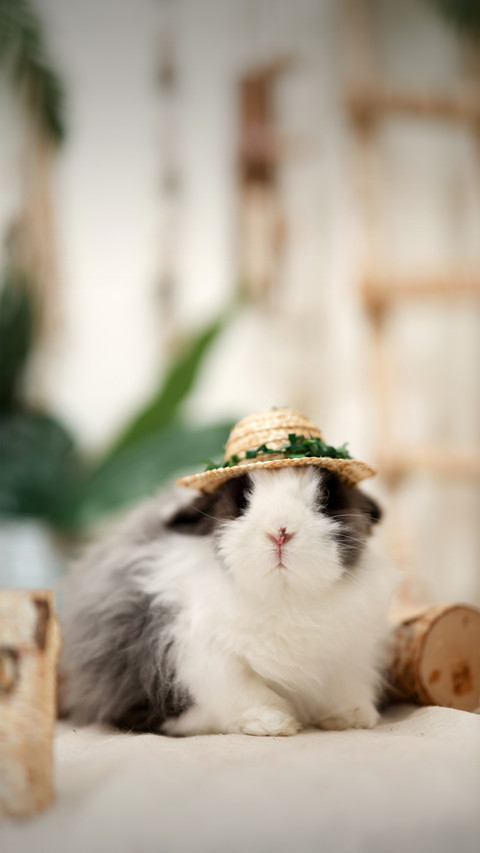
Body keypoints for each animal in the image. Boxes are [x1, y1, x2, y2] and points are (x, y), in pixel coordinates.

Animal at [60, 465, 396, 736]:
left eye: (326, 495)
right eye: (241, 500)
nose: (280, 532)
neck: (284, 594)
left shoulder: (348, 657)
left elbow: (342, 689)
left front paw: (352, 717)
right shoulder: (203, 658)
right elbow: (243, 693)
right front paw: (271, 723)